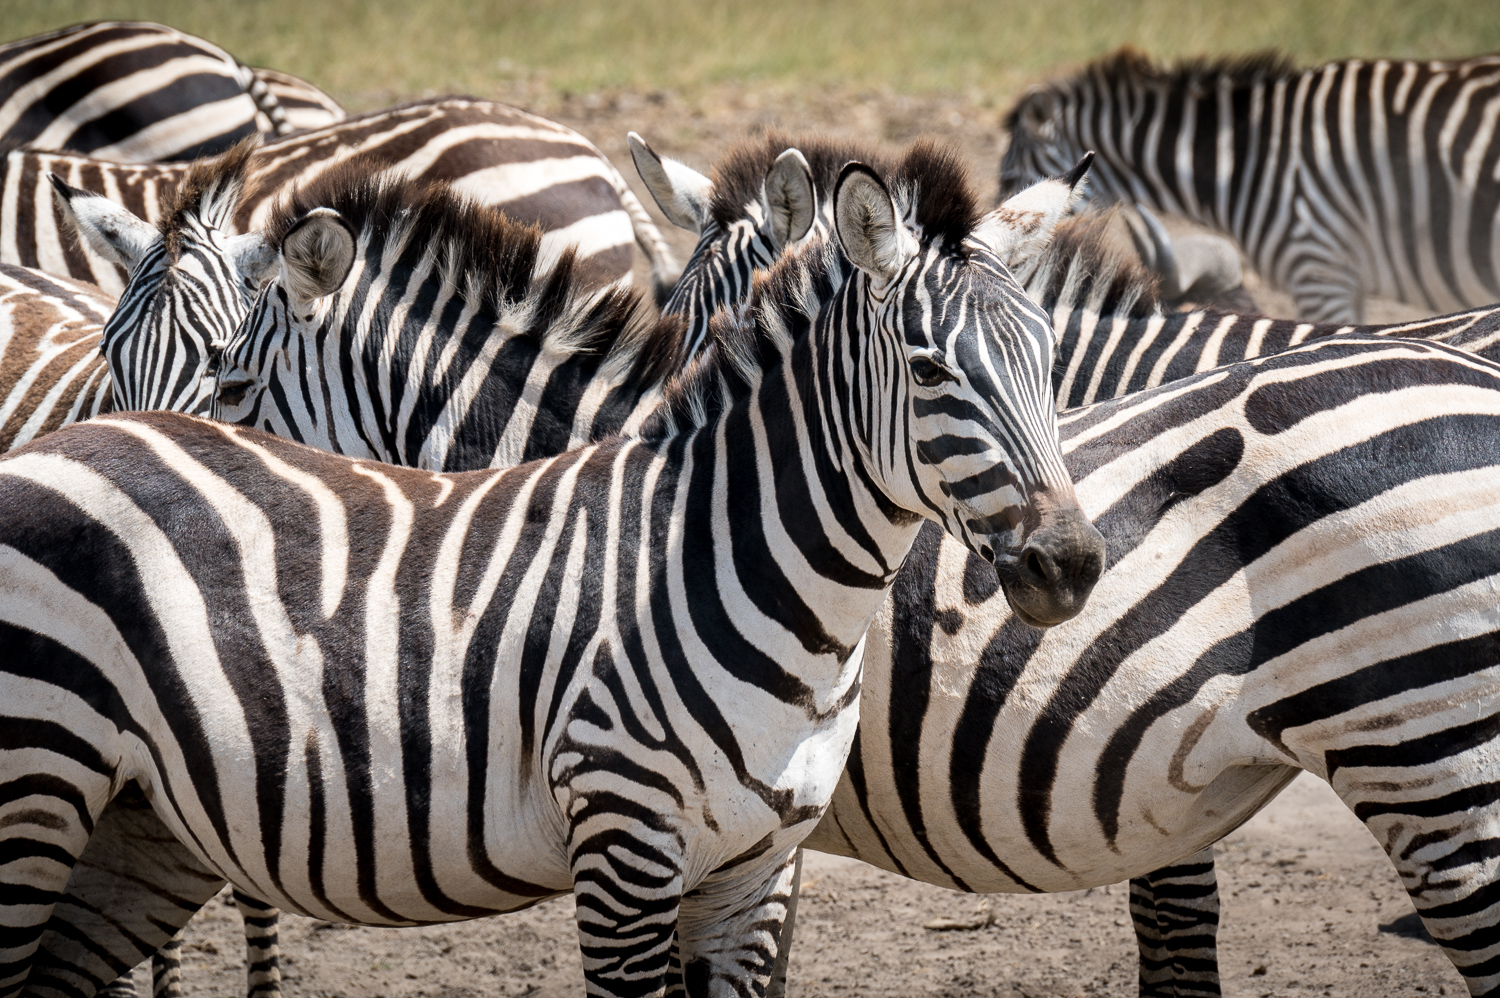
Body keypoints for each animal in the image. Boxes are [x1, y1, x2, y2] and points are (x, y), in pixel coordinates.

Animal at [0, 146, 1104, 996]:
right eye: (930, 370)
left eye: (1052, 361)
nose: (1069, 563)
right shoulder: (628, 848)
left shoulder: (757, 868)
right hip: (40, 781)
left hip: (122, 814)